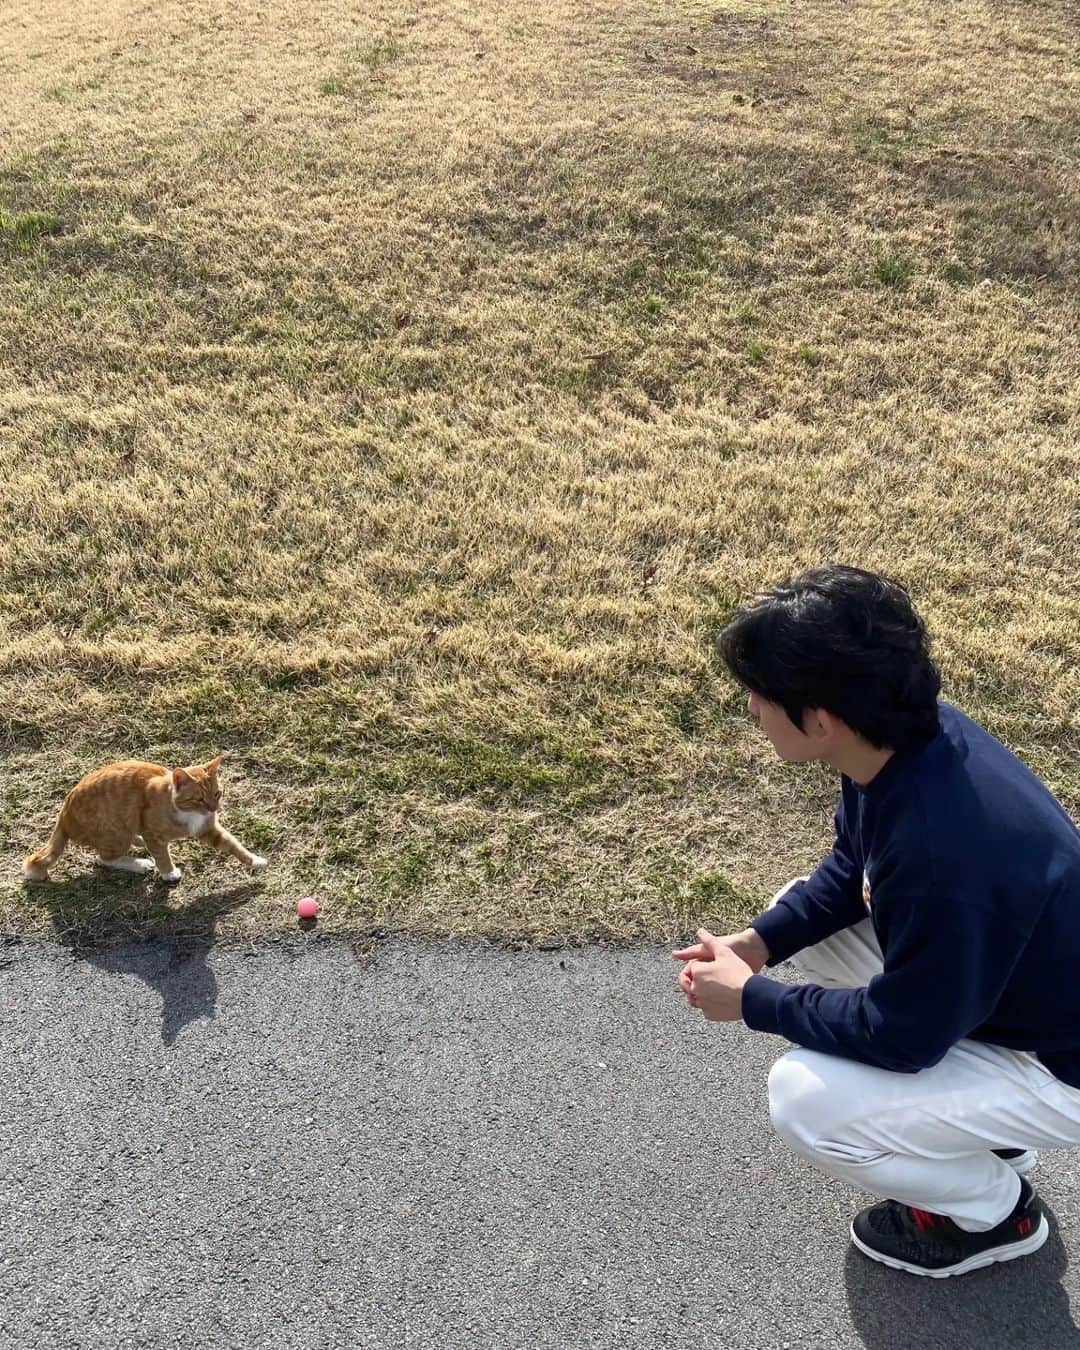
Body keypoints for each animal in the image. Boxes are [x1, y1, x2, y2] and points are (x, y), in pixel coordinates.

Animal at [22, 761, 267, 885]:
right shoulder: (154, 835)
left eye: (217, 794)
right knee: (103, 859)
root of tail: (63, 814)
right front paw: (169, 873)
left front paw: (254, 860)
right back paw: (139, 864)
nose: (213, 809)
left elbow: (233, 844)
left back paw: (138, 843)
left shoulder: (209, 829)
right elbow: (162, 855)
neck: (187, 813)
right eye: (198, 799)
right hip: (116, 834)